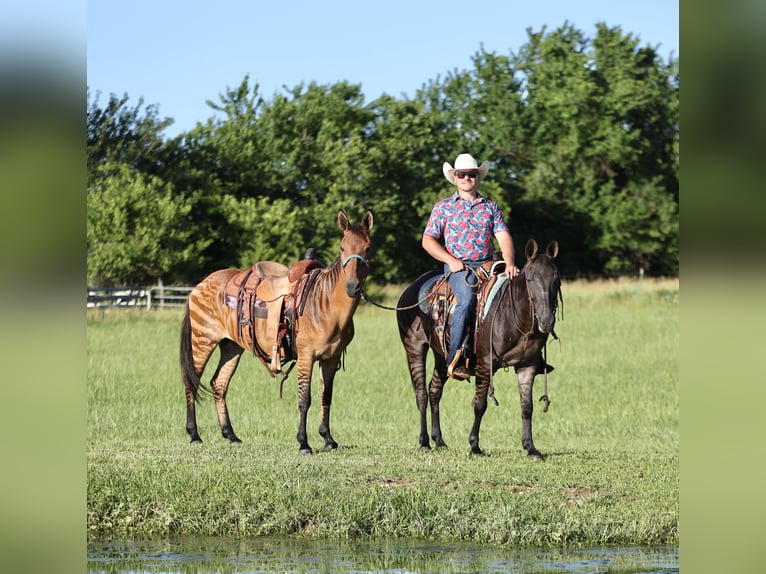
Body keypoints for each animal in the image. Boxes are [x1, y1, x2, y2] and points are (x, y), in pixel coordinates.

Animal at [180, 210, 372, 454]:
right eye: (342, 247)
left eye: (368, 248)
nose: (352, 287)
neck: (325, 302)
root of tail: (200, 285)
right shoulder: (306, 356)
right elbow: (304, 399)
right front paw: (303, 443)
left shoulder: (331, 358)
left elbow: (326, 396)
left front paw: (328, 438)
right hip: (202, 341)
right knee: (192, 382)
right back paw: (194, 434)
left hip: (231, 347)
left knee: (219, 384)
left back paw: (230, 435)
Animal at [400, 241, 560, 462]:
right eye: (530, 278)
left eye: (557, 279)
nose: (546, 321)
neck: (513, 317)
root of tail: (410, 288)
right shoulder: (485, 364)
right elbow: (480, 404)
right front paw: (474, 446)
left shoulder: (527, 366)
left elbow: (527, 407)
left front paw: (531, 448)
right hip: (414, 347)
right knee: (421, 393)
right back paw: (424, 442)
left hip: (443, 356)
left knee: (434, 390)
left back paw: (439, 440)